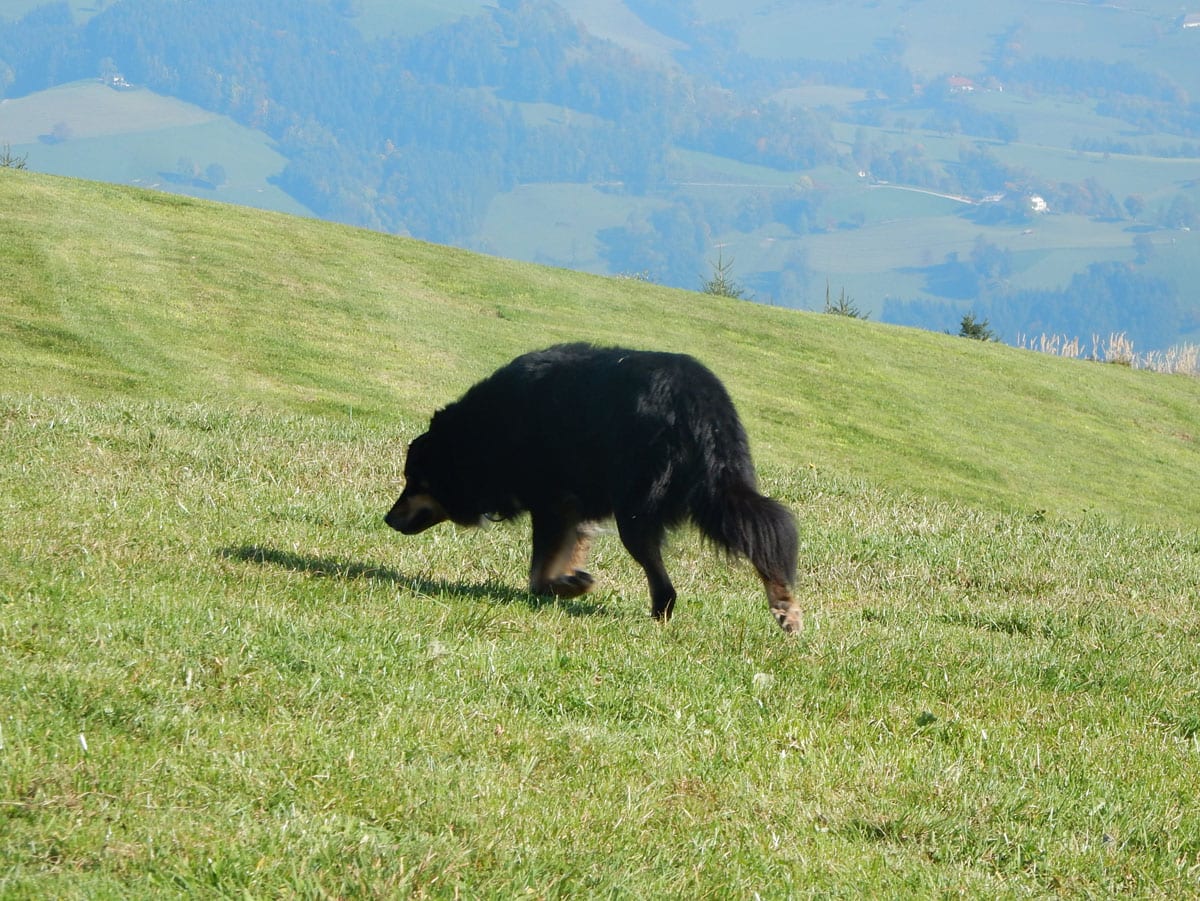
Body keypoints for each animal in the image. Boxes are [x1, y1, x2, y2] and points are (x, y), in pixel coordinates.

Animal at [385, 343, 801, 632]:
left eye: (415, 481)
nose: (388, 519)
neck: (478, 436)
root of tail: (699, 401)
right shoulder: (573, 510)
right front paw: (569, 580)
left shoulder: (553, 503)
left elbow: (538, 576)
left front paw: (567, 585)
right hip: (721, 489)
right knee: (764, 531)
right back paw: (786, 606)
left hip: (636, 512)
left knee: (666, 587)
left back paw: (660, 616)